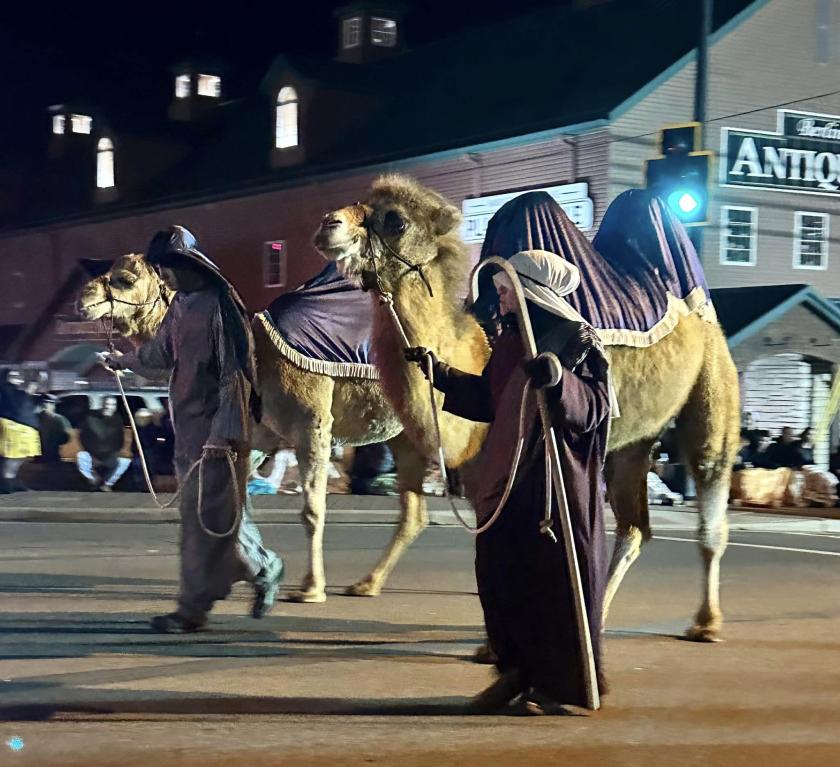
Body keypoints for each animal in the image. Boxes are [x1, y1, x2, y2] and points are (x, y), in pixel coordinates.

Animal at [77, 255, 434, 604]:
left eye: (126, 279)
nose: (83, 299)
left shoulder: (312, 425)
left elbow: (312, 510)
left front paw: (310, 588)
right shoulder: (260, 436)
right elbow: (231, 501)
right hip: (405, 434)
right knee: (413, 514)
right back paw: (367, 584)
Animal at [312, 174, 740, 640]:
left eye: (396, 220)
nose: (328, 224)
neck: (481, 342)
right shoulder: (480, 470)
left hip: (714, 379)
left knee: (711, 487)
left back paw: (706, 623)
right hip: (632, 442)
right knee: (635, 527)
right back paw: (598, 616)